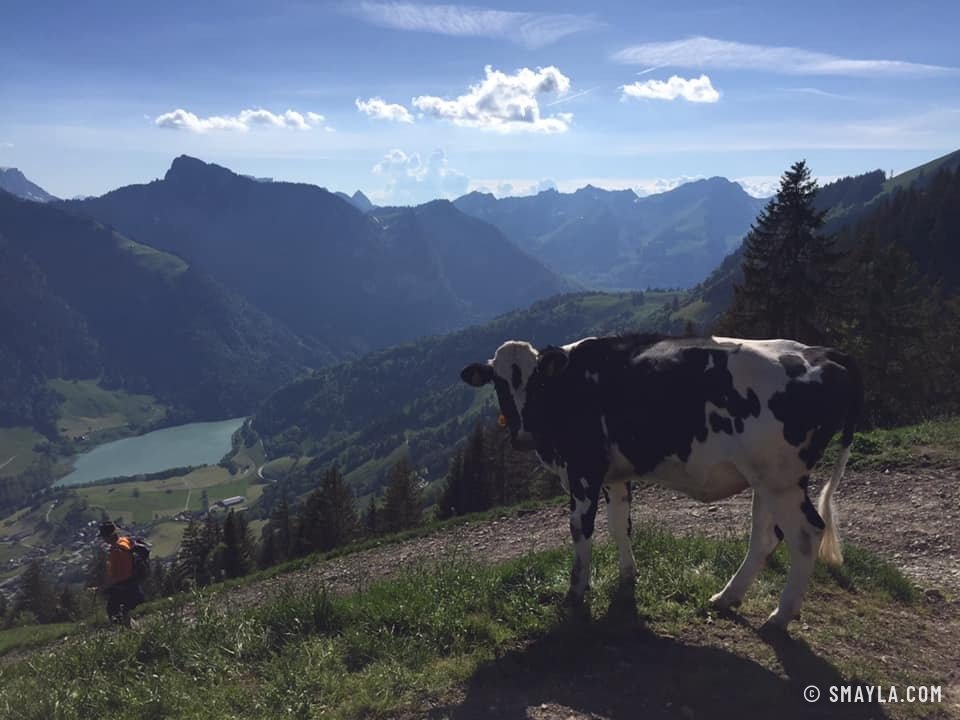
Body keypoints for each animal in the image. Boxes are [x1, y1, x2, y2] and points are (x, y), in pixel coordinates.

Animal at [460, 333, 863, 628]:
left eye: (538, 382)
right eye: (499, 384)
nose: (522, 436)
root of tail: (825, 352)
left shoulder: (583, 470)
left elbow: (580, 530)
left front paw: (575, 594)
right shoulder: (615, 476)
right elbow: (620, 526)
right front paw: (627, 578)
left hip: (781, 479)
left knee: (806, 534)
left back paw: (780, 615)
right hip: (767, 480)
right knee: (765, 537)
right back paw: (727, 597)